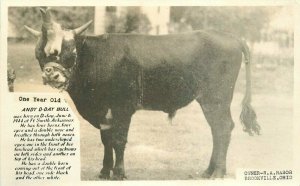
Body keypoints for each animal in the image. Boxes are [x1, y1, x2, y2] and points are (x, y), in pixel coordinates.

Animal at [26, 17, 260, 179]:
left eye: (70, 52)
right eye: (39, 54)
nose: (50, 74)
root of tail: (230, 36)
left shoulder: (122, 107)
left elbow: (119, 140)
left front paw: (119, 173)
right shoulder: (104, 111)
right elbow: (106, 139)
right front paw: (104, 171)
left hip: (216, 98)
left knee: (222, 128)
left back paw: (218, 172)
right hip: (209, 100)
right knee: (217, 130)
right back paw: (208, 170)